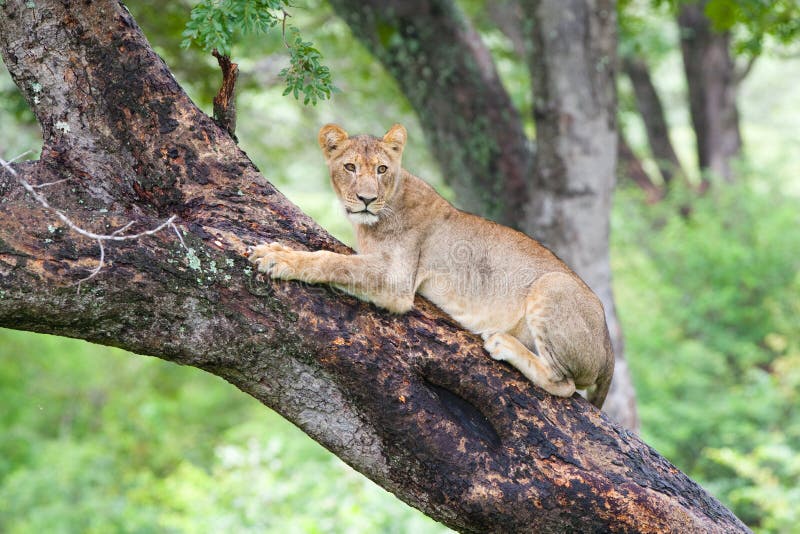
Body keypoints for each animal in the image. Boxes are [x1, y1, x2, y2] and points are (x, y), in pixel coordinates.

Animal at [250, 124, 612, 410]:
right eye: (350, 166)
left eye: (382, 169)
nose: (366, 199)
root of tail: (608, 346)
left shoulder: (396, 281)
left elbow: (332, 261)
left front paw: (279, 257)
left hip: (553, 285)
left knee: (564, 384)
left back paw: (503, 344)